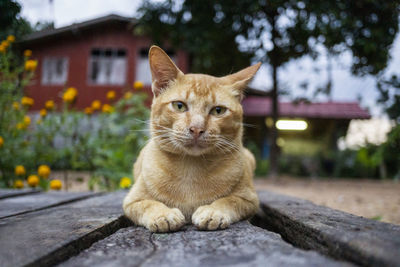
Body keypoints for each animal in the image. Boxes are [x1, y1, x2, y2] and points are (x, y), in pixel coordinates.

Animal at [122, 45, 260, 232]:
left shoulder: (250, 200)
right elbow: (148, 204)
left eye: (218, 110)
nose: (196, 129)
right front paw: (164, 215)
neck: (190, 169)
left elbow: (229, 201)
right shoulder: (132, 201)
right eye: (179, 106)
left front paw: (213, 211)